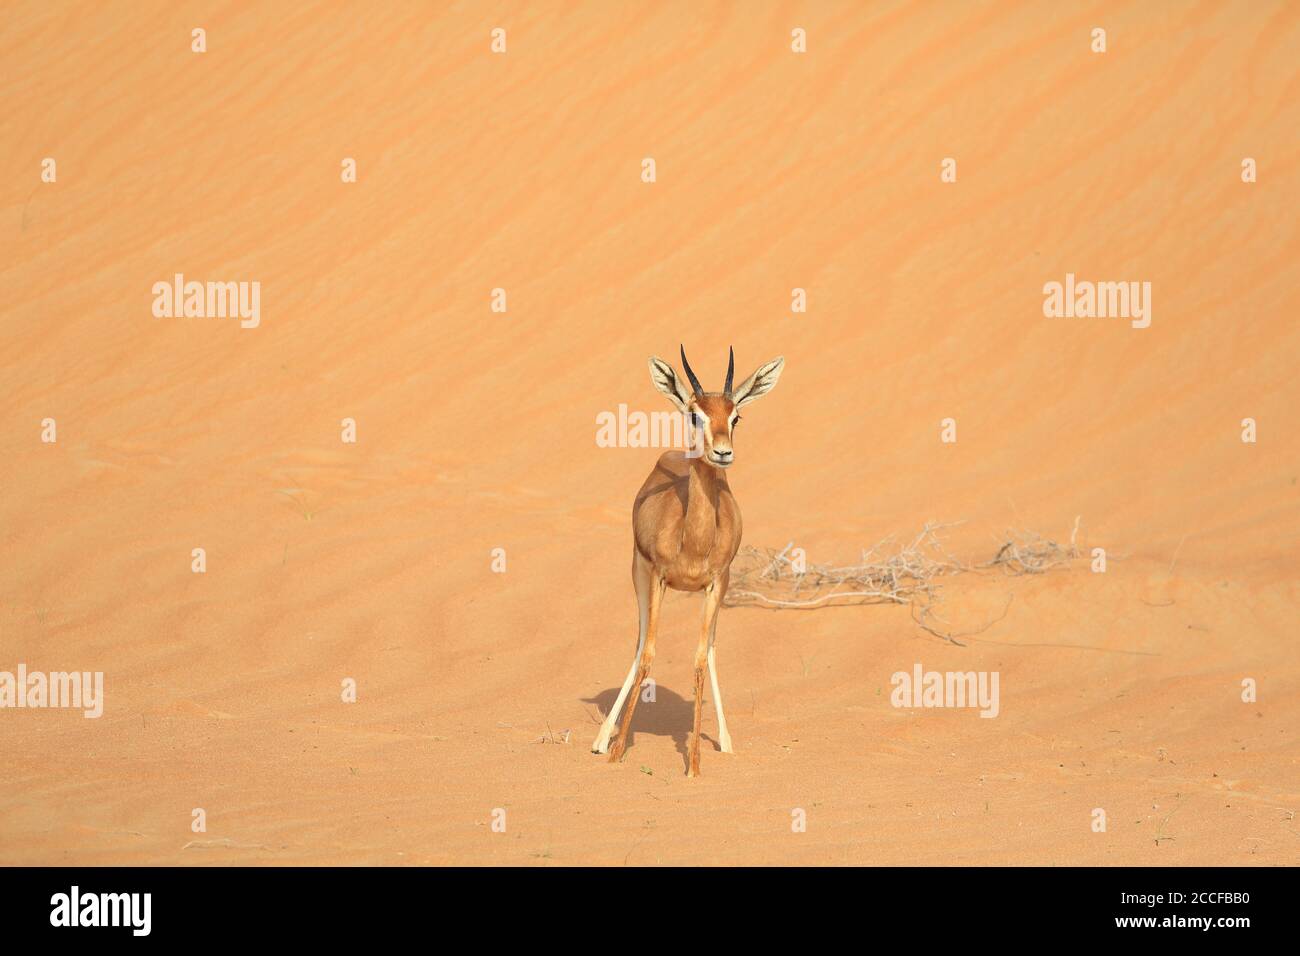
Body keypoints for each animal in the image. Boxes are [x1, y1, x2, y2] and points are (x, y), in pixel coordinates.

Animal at [592, 346, 785, 776]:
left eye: (735, 415)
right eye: (695, 414)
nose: (723, 452)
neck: (693, 540)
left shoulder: (716, 583)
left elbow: (698, 661)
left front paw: (694, 765)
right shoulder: (658, 577)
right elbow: (648, 655)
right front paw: (616, 752)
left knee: (709, 648)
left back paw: (726, 742)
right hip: (638, 575)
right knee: (639, 642)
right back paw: (602, 739)